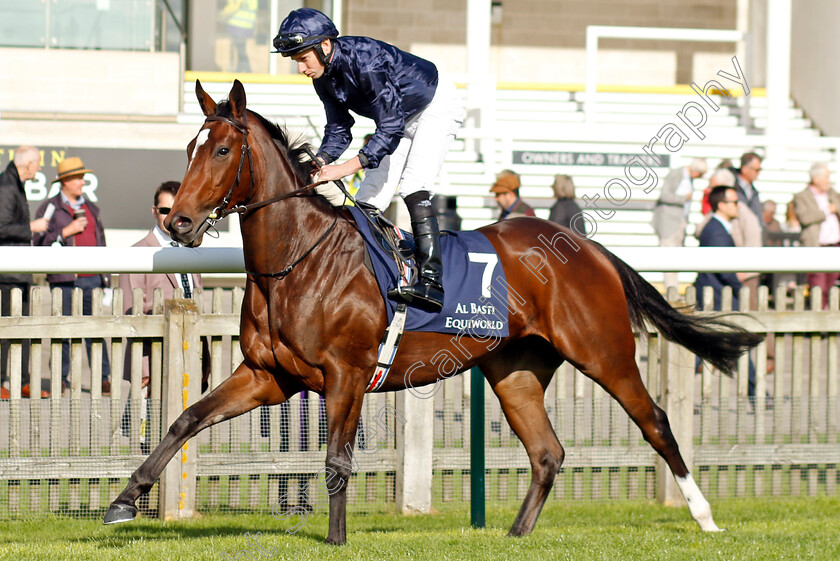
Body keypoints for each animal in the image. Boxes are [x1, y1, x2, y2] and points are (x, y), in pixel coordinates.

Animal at [103, 80, 760, 544]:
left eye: (220, 148)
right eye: (189, 149)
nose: (177, 222)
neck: (297, 261)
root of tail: (587, 246)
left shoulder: (346, 374)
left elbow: (336, 460)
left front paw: (336, 541)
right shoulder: (270, 375)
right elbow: (186, 419)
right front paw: (124, 501)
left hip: (603, 351)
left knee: (656, 421)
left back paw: (704, 516)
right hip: (515, 369)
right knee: (547, 451)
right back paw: (514, 536)